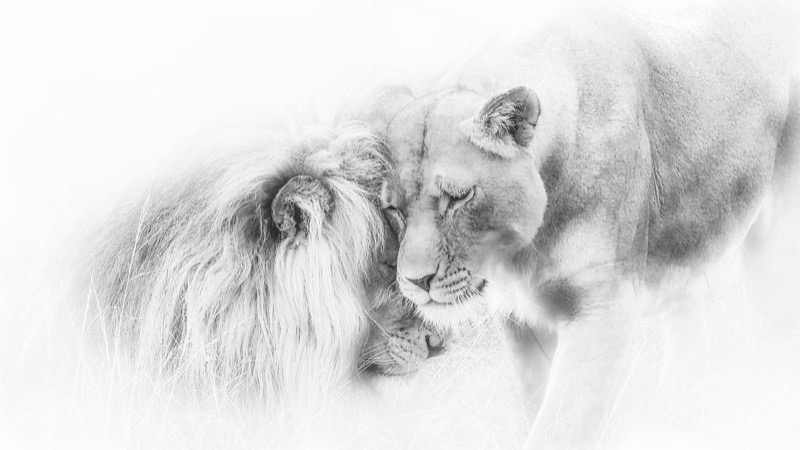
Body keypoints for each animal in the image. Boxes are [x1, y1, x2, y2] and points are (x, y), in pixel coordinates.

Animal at [362, 3, 799, 448]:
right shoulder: (520, 321)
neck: (524, 251)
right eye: (394, 209)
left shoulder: (604, 309)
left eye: (458, 196)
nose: (415, 282)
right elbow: (538, 403)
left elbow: (562, 425)